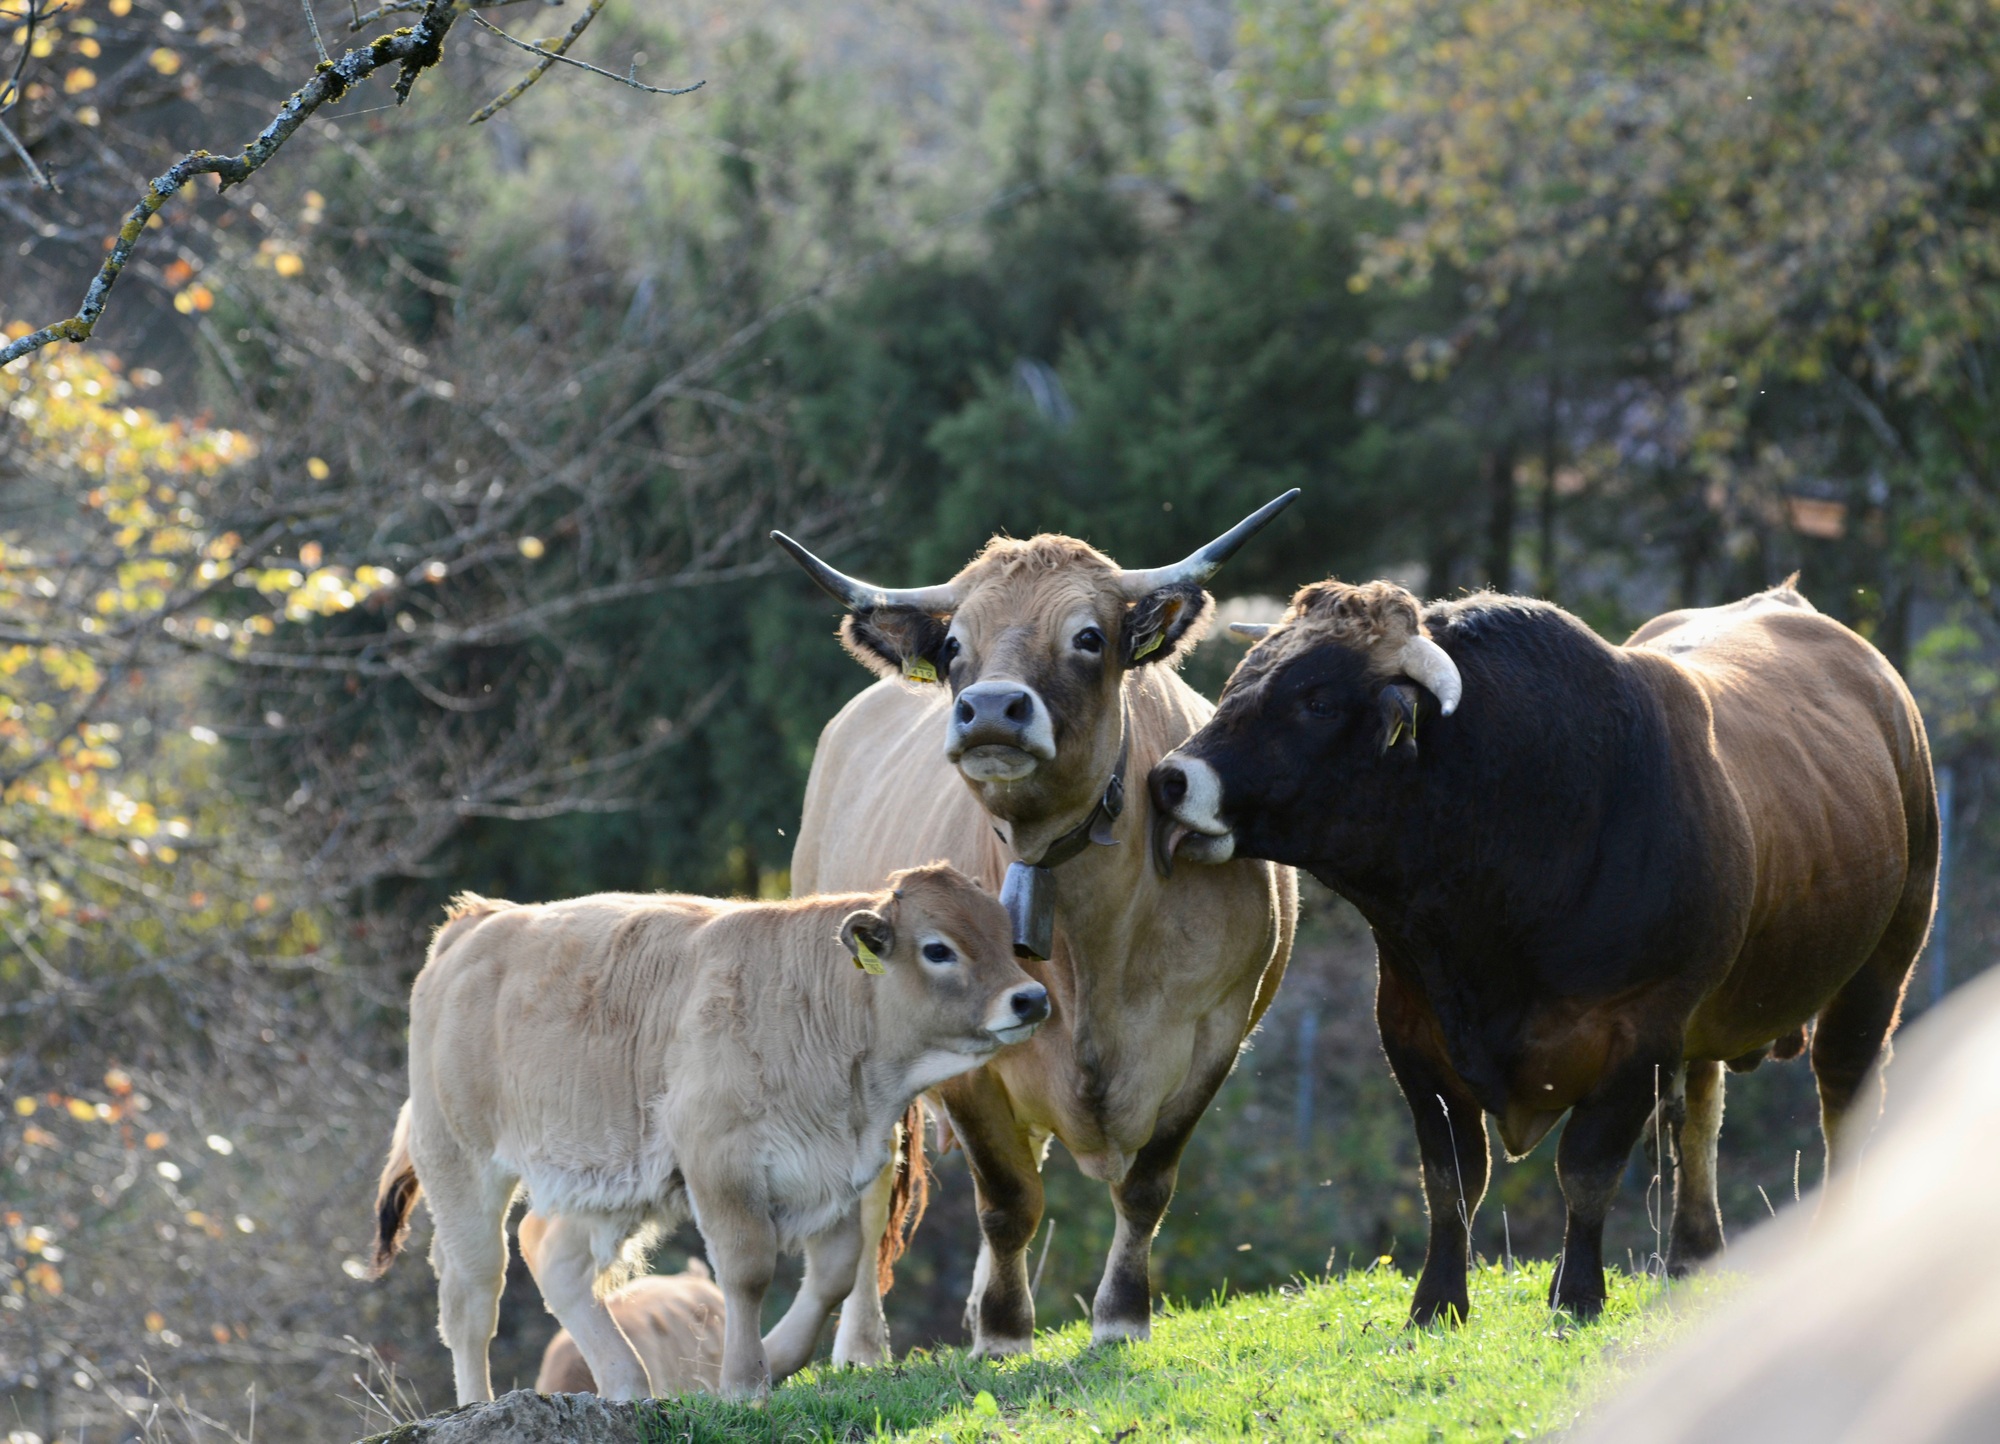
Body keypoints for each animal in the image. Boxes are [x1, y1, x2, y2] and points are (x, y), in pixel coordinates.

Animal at [367, 863, 1048, 1402]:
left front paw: (776, 1359)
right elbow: (747, 1271)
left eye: (1003, 935)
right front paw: (745, 1382)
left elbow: (834, 1273)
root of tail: (478, 922)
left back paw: (627, 1385)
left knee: (553, 1255)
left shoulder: (835, 1171)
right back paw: (475, 1404)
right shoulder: (723, 1169)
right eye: (939, 949)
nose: (1031, 998)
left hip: (610, 1184)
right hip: (462, 1170)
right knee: (472, 1297)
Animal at [771, 497, 1299, 1360]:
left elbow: (1146, 1184)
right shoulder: (966, 1066)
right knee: (874, 1189)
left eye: (1088, 636)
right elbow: (1008, 1197)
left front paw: (1119, 1315)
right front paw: (1004, 1332)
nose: (989, 708)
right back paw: (862, 1346)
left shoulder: (1215, 1033)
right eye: (955, 644)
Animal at [1148, 578, 1937, 1322]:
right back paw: (1692, 1252)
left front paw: (1577, 1293)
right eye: (1239, 681)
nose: (1169, 780)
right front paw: (1437, 1301)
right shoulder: (1409, 1029)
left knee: (1844, 1096)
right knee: (1700, 1114)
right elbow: (1451, 1179)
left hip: (1881, 968)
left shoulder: (1640, 1031)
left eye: (1315, 700)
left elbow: (1586, 1171)